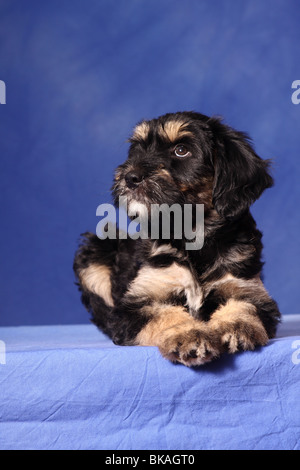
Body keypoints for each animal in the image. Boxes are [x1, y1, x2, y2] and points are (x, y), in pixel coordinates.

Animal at [74, 111, 280, 368]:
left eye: (181, 150)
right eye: (137, 149)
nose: (130, 177)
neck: (192, 235)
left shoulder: (246, 287)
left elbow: (244, 305)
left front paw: (235, 326)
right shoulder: (137, 303)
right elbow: (166, 315)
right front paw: (188, 335)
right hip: (95, 249)